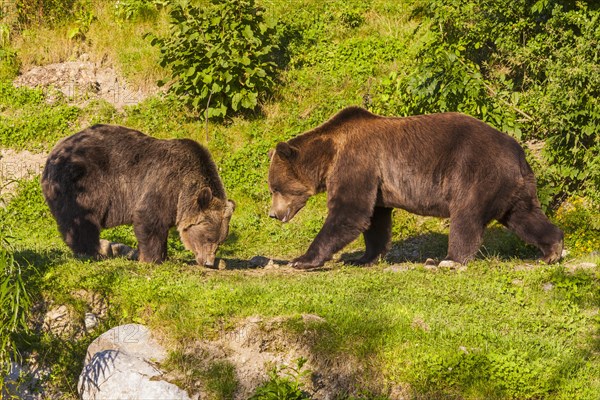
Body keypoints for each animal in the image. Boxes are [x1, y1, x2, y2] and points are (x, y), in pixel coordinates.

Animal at [41, 125, 234, 268]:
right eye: (208, 237)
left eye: (220, 241)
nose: (208, 262)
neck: (183, 190)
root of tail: (55, 149)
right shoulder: (164, 183)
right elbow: (150, 219)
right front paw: (152, 259)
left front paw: (164, 256)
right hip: (80, 182)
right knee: (82, 219)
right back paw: (90, 253)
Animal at [270, 105, 564, 268]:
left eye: (274, 187)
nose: (272, 214)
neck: (328, 154)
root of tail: (518, 152)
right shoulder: (377, 181)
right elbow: (375, 220)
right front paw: (363, 258)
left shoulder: (357, 161)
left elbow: (349, 212)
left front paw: (302, 260)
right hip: (513, 187)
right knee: (524, 215)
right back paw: (551, 250)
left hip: (476, 173)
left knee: (466, 216)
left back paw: (448, 259)